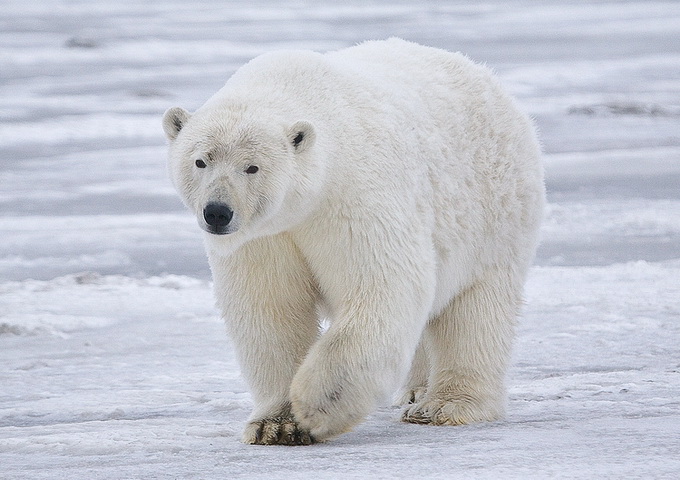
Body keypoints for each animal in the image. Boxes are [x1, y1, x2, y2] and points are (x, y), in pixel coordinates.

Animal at [162, 38, 544, 446]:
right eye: (200, 161)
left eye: (252, 167)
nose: (217, 212)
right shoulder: (264, 237)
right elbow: (270, 309)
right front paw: (275, 425)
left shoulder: (353, 196)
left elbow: (381, 286)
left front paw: (316, 405)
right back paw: (415, 390)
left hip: (493, 213)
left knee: (475, 311)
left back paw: (443, 405)